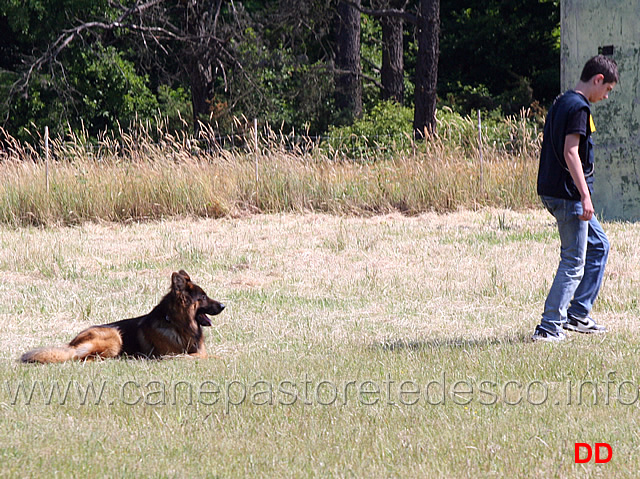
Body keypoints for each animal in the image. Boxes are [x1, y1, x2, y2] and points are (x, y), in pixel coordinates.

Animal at [21, 270, 225, 364]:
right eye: (203, 297)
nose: (223, 306)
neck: (178, 325)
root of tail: (72, 343)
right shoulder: (171, 355)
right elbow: (204, 356)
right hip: (114, 336)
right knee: (83, 358)